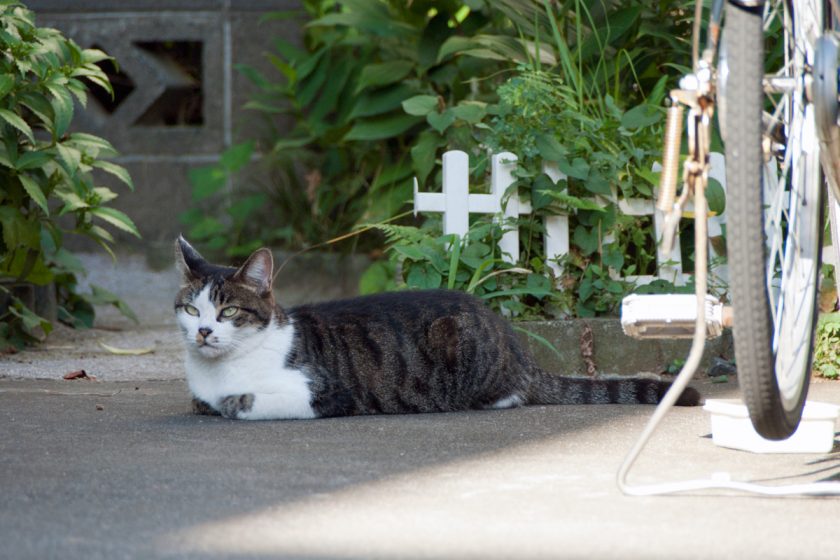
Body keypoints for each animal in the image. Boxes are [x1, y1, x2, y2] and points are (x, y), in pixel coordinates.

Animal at [174, 236, 700, 420]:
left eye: (228, 312)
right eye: (191, 310)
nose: (203, 333)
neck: (220, 370)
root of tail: (515, 344)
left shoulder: (326, 392)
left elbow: (243, 403)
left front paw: (233, 403)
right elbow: (203, 402)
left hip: (461, 345)